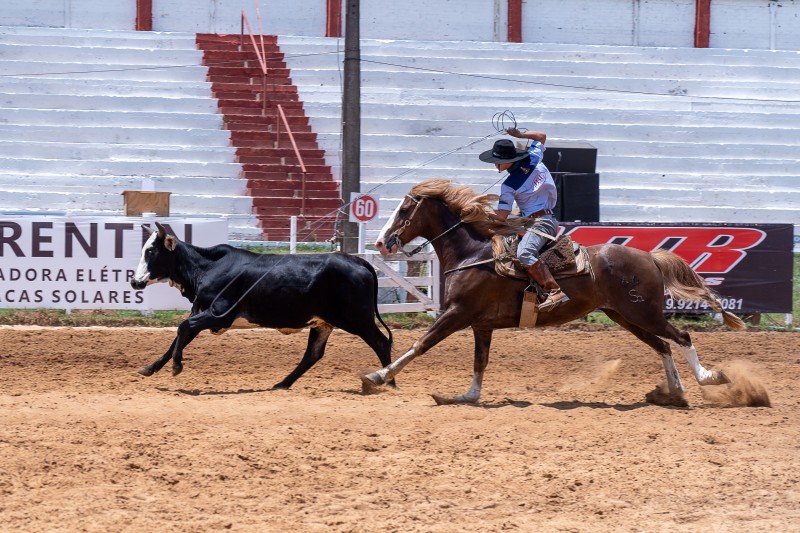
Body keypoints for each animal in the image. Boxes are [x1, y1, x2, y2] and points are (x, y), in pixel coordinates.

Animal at [360, 179, 748, 408]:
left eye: (405, 209)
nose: (380, 243)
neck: (475, 255)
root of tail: (649, 257)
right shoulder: (480, 325)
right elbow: (480, 361)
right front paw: (468, 395)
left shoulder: (457, 314)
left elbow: (420, 344)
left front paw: (377, 377)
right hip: (626, 316)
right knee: (663, 346)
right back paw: (674, 393)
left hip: (643, 313)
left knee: (681, 337)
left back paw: (707, 378)